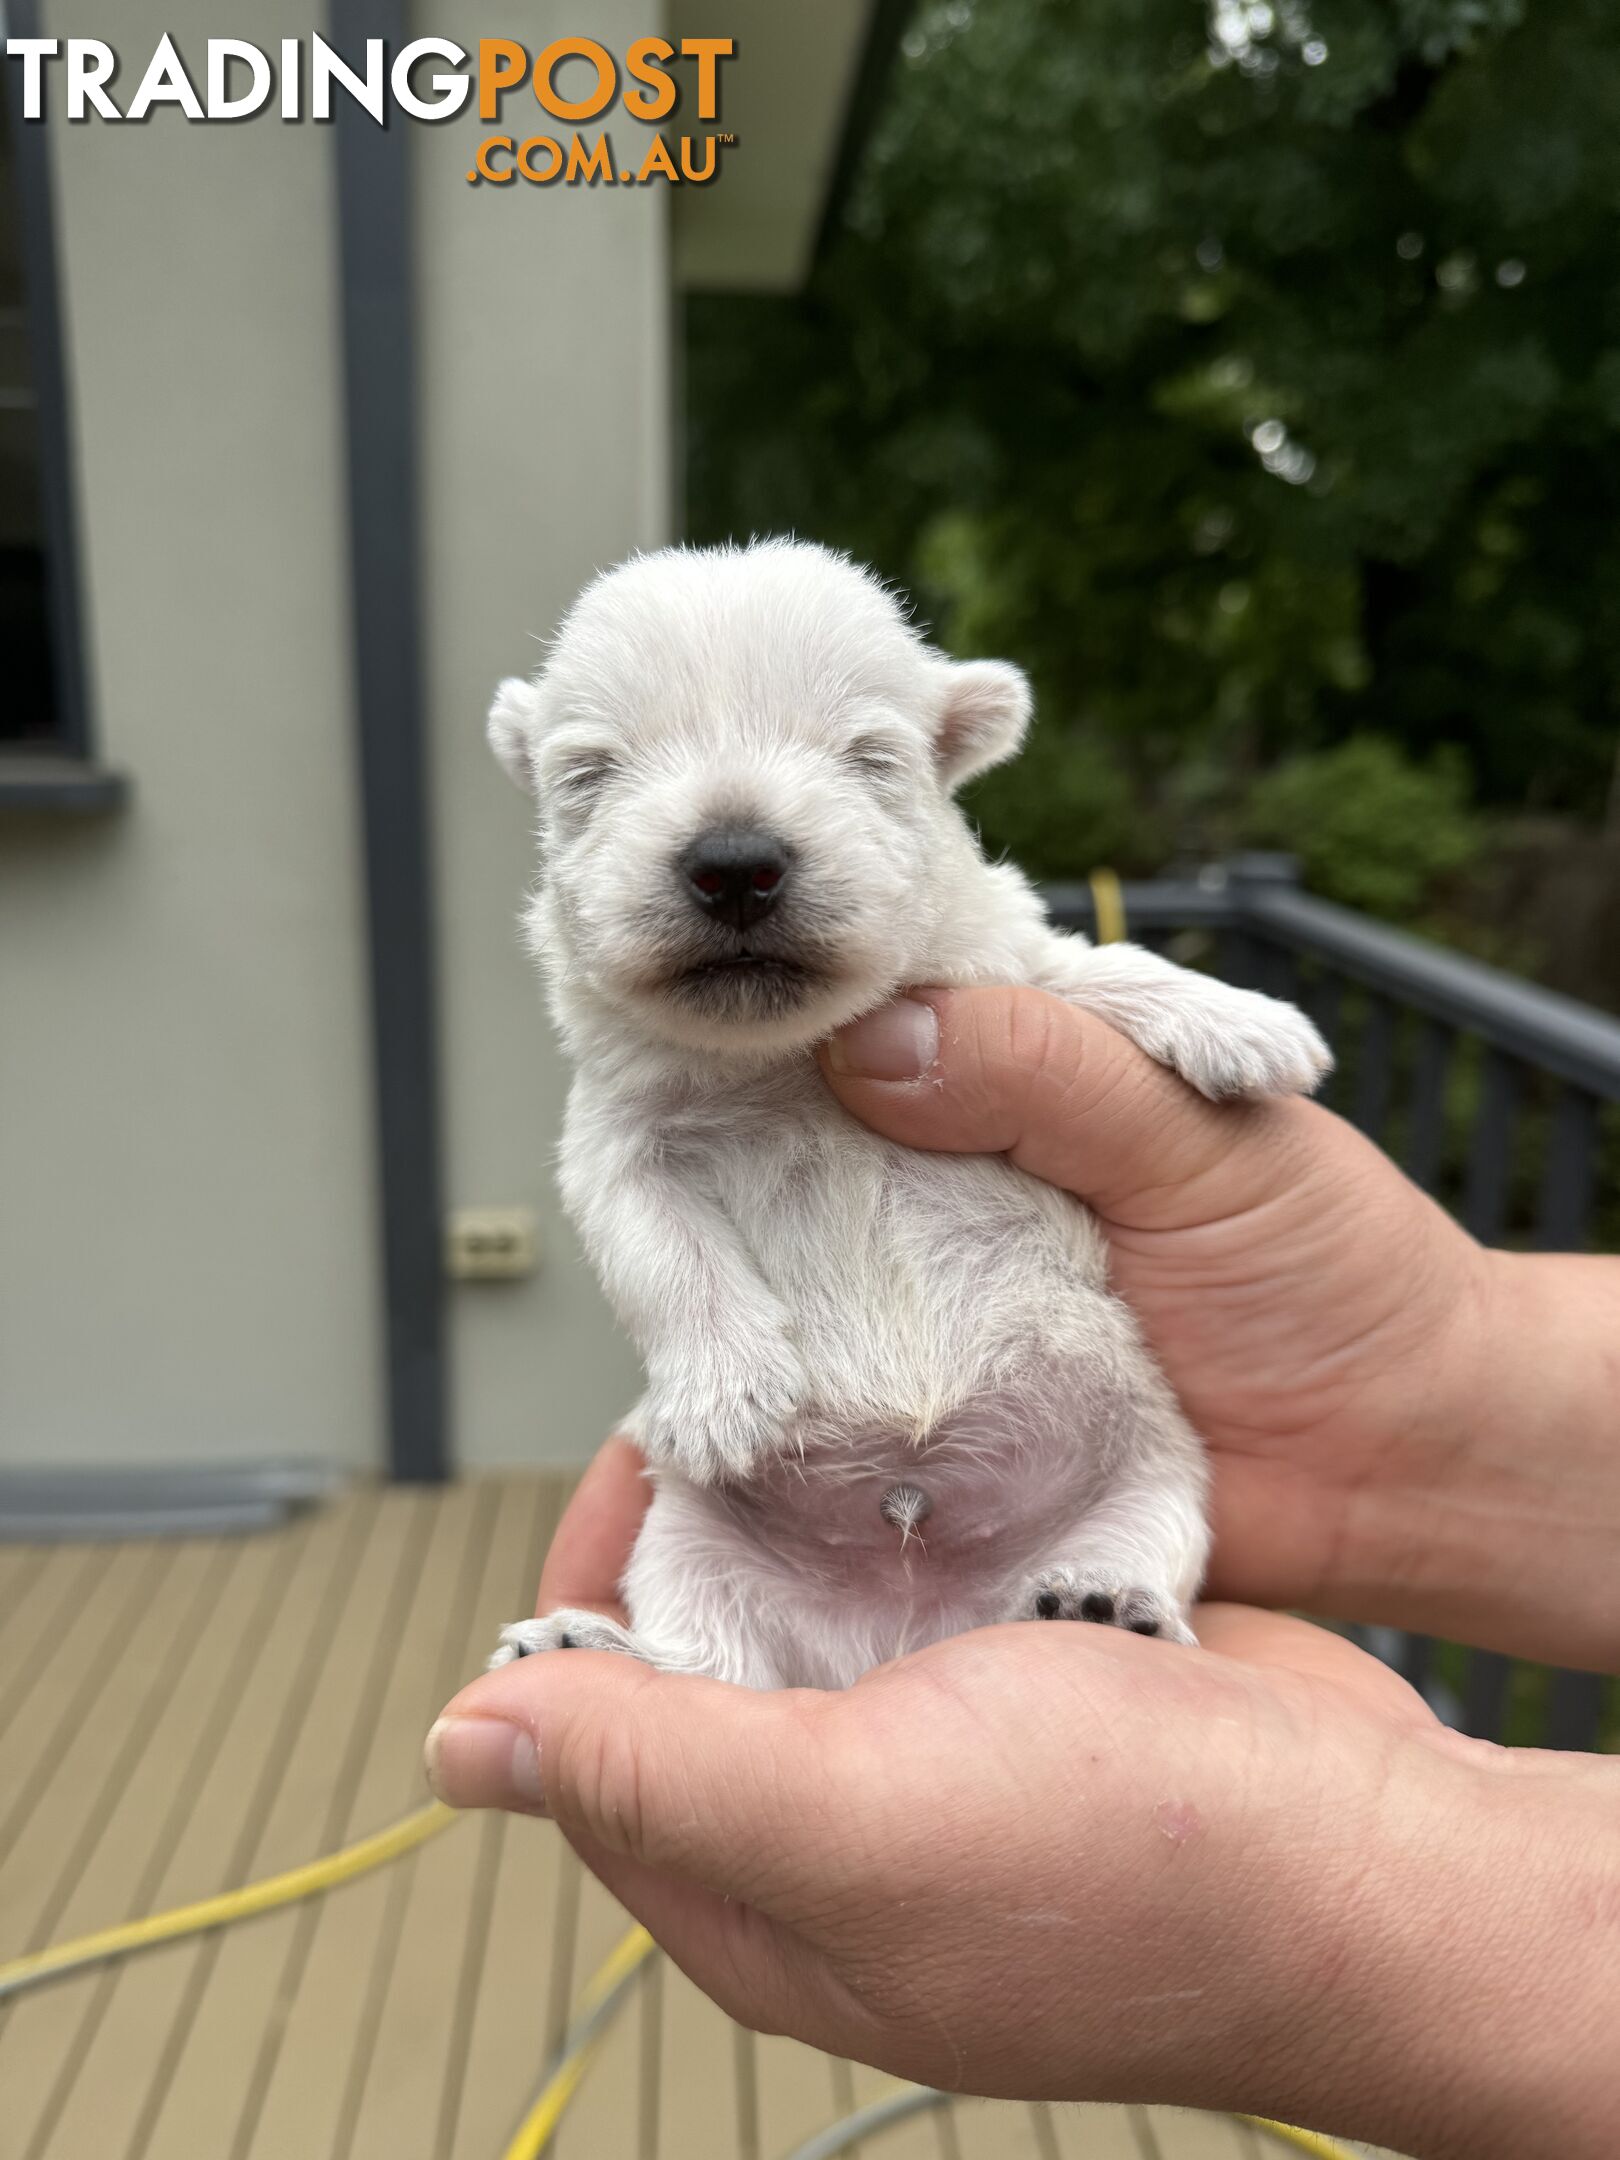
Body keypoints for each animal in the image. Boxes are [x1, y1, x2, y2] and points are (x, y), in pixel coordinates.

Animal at [486, 540, 1330, 1684]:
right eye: (590, 774)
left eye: (870, 756)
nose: (735, 862)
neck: (791, 1055)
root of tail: (905, 1622)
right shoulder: (615, 1126)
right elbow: (655, 1242)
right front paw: (725, 1399)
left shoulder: (996, 966)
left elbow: (1086, 968)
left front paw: (1244, 1020)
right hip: (692, 1540)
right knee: (714, 1654)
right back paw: (597, 1641)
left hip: (1150, 1477)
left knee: (1141, 1541)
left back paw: (1108, 1603)